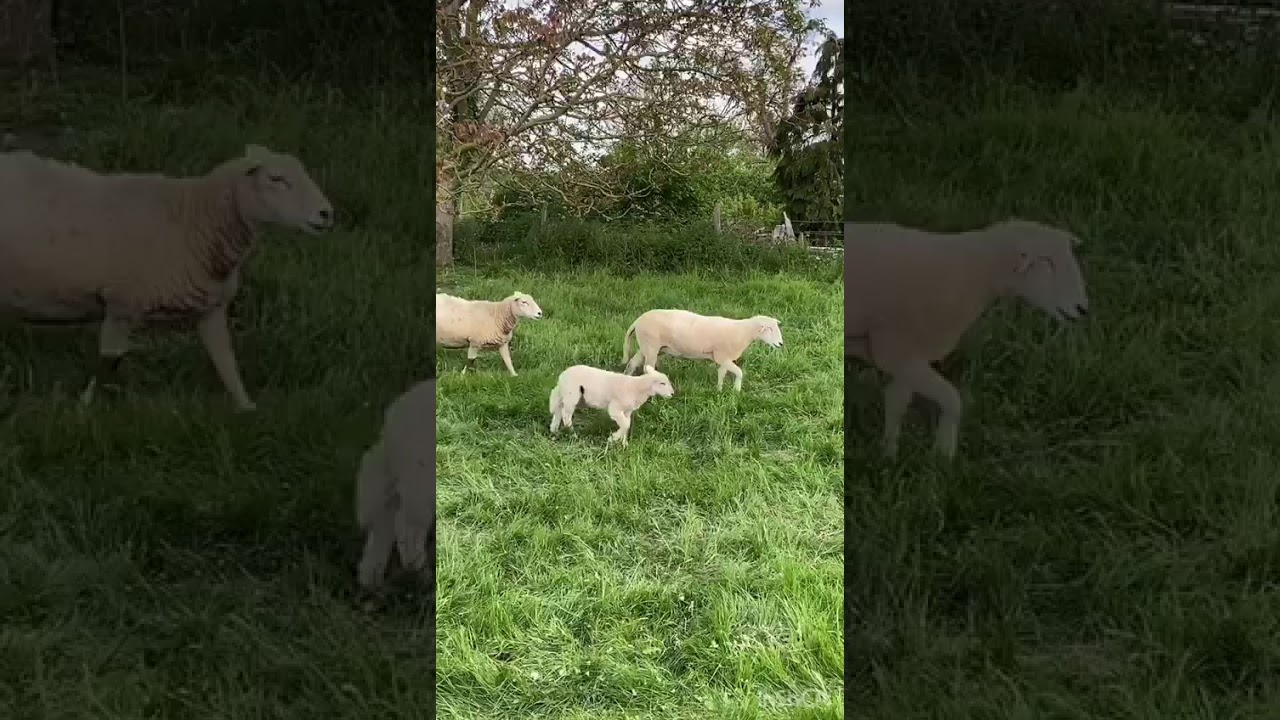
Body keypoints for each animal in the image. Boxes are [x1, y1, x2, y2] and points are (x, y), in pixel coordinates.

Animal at [0, 143, 334, 411]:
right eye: (276, 179)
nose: (327, 213)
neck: (193, 219)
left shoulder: (212, 309)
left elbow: (227, 365)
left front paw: (248, 410)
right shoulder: (122, 304)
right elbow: (107, 364)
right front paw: (86, 407)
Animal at [356, 378, 435, 590]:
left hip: (399, 477)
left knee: (384, 521)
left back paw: (371, 578)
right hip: (420, 477)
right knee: (404, 524)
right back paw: (418, 569)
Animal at [621, 309, 784, 391]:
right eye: (770, 329)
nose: (781, 344)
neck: (743, 332)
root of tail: (637, 321)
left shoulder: (723, 358)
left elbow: (721, 373)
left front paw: (719, 390)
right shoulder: (722, 356)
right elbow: (739, 372)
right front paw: (737, 391)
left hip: (648, 347)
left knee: (632, 364)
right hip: (651, 346)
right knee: (646, 368)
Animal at [844, 218, 1090, 460]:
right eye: (1047, 262)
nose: (1083, 309)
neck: (971, 272)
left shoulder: (910, 352)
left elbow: (896, 403)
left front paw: (889, 455)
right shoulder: (895, 350)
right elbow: (952, 400)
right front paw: (943, 453)